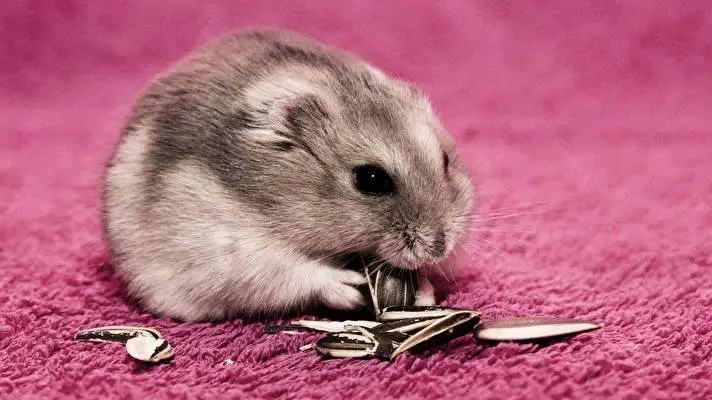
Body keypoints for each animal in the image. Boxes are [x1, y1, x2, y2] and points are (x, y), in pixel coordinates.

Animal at [102, 29, 474, 322]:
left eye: (445, 160)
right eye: (371, 180)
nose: (440, 248)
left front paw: (424, 293)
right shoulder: (235, 253)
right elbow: (296, 272)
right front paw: (350, 288)